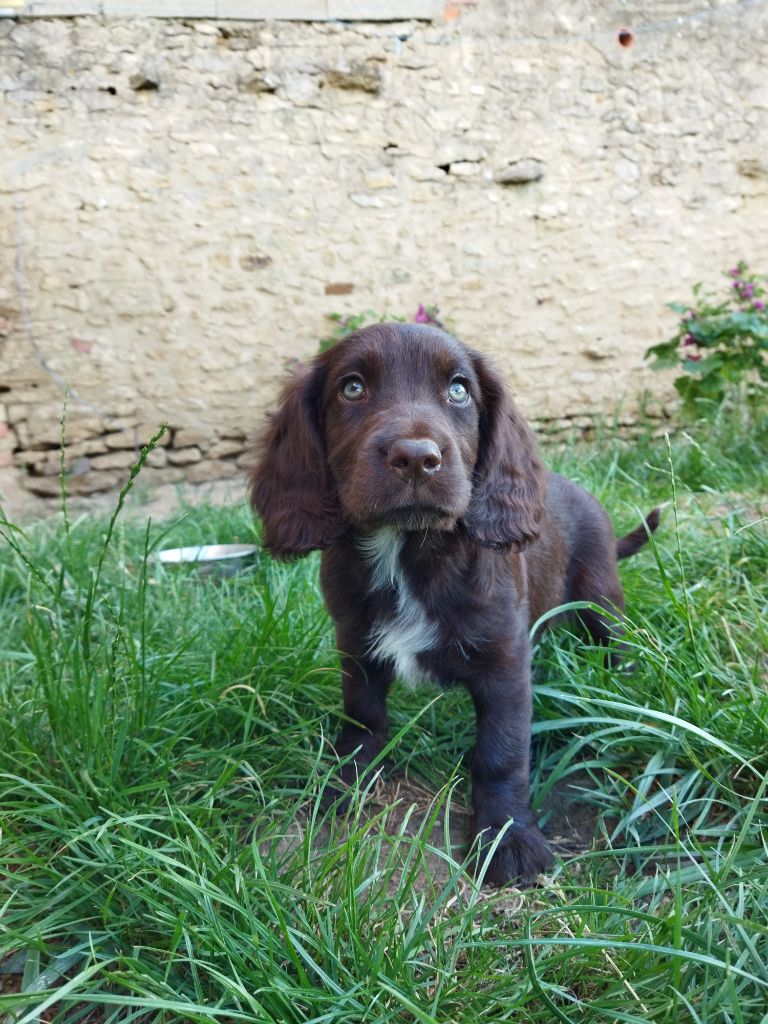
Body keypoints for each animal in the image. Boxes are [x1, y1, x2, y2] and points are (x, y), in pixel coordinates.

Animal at [249, 323, 659, 884]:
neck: (408, 552)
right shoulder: (356, 645)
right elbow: (362, 718)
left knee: (612, 641)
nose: (416, 458)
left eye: (459, 390)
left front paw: (508, 838)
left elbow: (500, 753)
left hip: (600, 596)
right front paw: (344, 785)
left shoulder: (506, 663)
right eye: (352, 388)